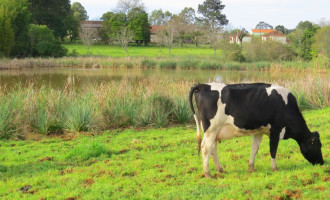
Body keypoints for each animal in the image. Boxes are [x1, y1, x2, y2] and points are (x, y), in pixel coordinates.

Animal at [189, 83, 324, 178]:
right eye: (318, 145)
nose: (322, 162)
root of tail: (203, 85)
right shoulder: (275, 130)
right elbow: (273, 149)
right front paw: (275, 168)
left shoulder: (259, 131)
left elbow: (255, 148)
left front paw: (251, 168)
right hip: (211, 129)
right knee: (206, 148)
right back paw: (208, 174)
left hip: (215, 131)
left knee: (213, 148)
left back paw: (221, 169)